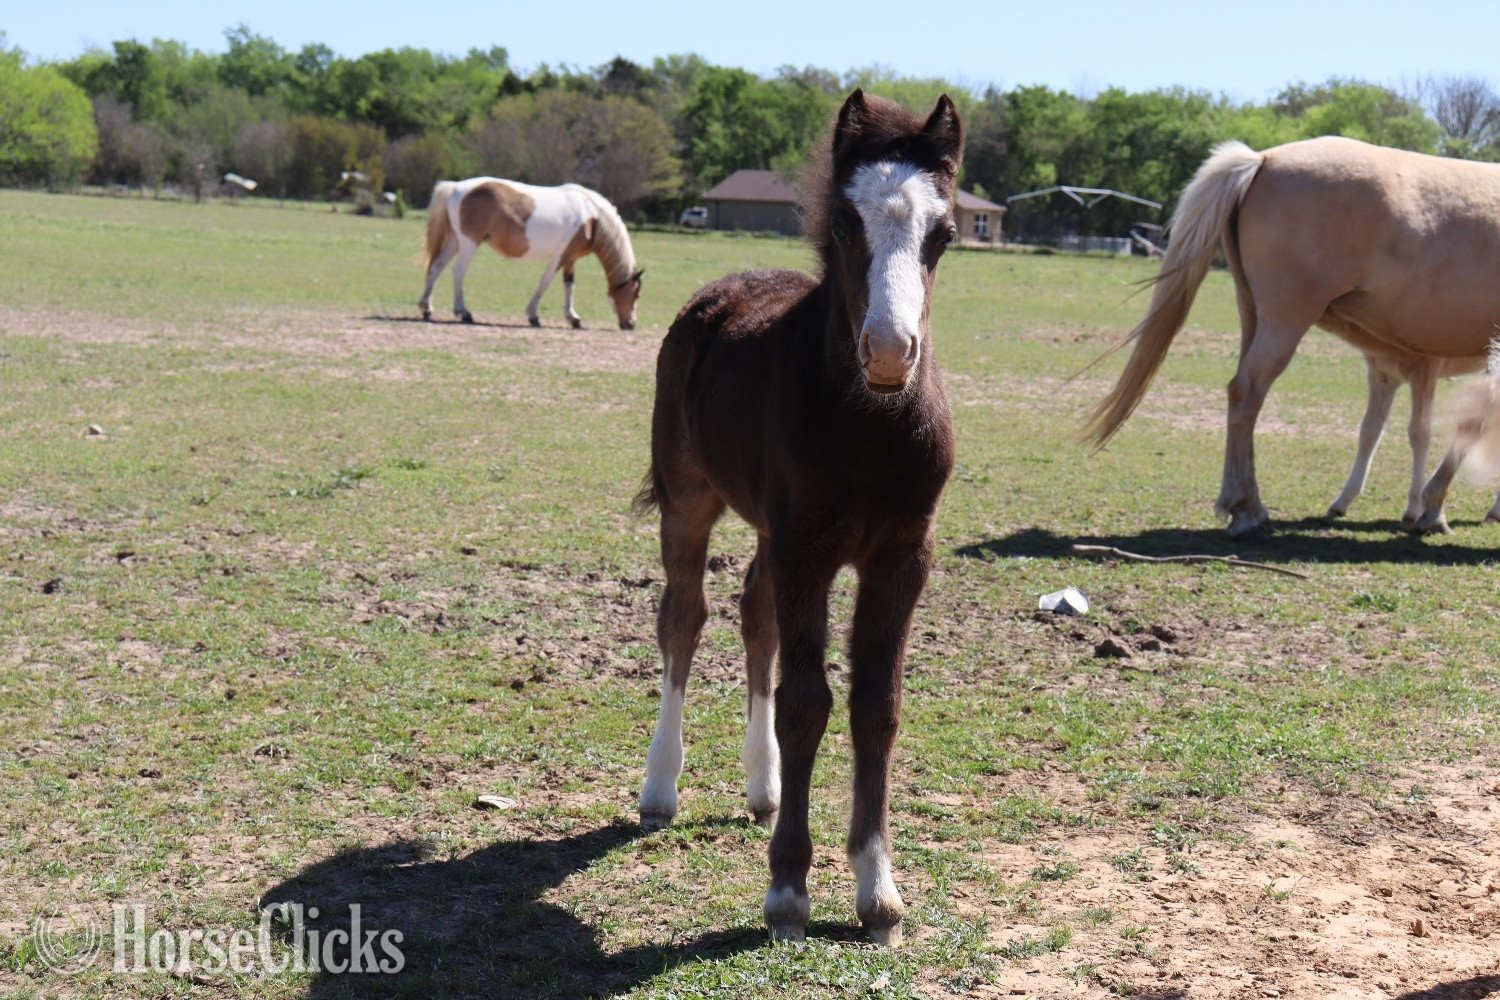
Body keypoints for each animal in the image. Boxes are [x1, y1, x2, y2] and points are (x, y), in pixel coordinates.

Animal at [418, 178, 643, 330]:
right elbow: (545, 282)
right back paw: (463, 312)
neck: (592, 218)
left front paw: (573, 318)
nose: (631, 323)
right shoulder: (560, 256)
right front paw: (533, 316)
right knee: (458, 271)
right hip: (468, 243)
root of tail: (455, 187)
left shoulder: (570, 258)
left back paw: (427, 308)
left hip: (455, 241)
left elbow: (569, 285)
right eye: (636, 294)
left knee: (437, 267)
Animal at [633, 89, 962, 947]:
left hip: (768, 529)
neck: (868, 426)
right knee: (685, 615)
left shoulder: (900, 558)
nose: (890, 351)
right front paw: (787, 890)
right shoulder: (806, 550)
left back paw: (763, 787)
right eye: (845, 225)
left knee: (755, 614)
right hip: (690, 498)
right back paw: (659, 788)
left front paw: (879, 893)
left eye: (944, 234)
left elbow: (876, 705)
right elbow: (807, 701)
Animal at [1084, 136, 1500, 538]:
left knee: (1243, 395)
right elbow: (1455, 427)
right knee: (1247, 391)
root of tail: (1262, 160)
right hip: (1286, 320)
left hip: (1254, 314)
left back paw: (1247, 505)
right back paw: (1245, 511)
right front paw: (1431, 509)